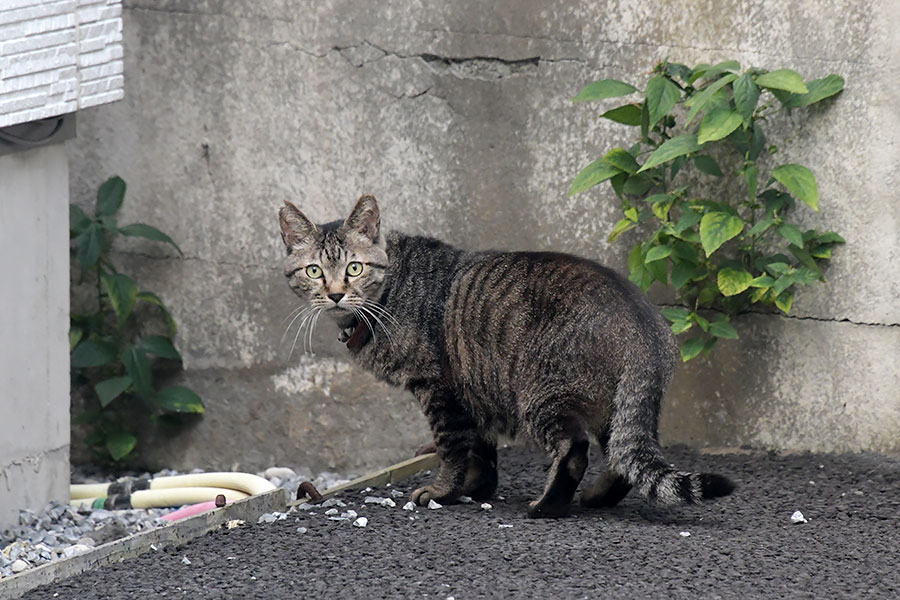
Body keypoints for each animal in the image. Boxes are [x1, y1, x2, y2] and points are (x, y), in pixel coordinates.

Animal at [278, 195, 736, 516]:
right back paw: (596, 497)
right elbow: (480, 450)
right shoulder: (472, 390)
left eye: (353, 269)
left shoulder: (440, 391)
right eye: (314, 271)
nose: (336, 294)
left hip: (541, 394)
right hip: (616, 406)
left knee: (575, 450)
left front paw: (443, 492)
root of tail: (642, 321)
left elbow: (452, 448)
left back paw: (547, 507)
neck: (386, 294)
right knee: (625, 457)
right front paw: (474, 489)